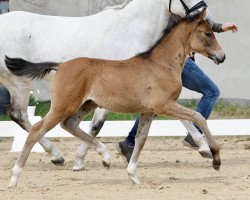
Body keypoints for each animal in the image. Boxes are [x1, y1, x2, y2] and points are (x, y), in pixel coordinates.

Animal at [6, 10, 225, 187]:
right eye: (208, 33)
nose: (222, 57)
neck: (162, 64)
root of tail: (60, 65)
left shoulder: (148, 111)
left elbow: (141, 139)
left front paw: (134, 177)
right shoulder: (164, 106)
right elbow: (198, 117)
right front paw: (215, 158)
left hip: (87, 104)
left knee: (70, 125)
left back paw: (106, 157)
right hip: (63, 106)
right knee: (36, 130)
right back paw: (15, 178)